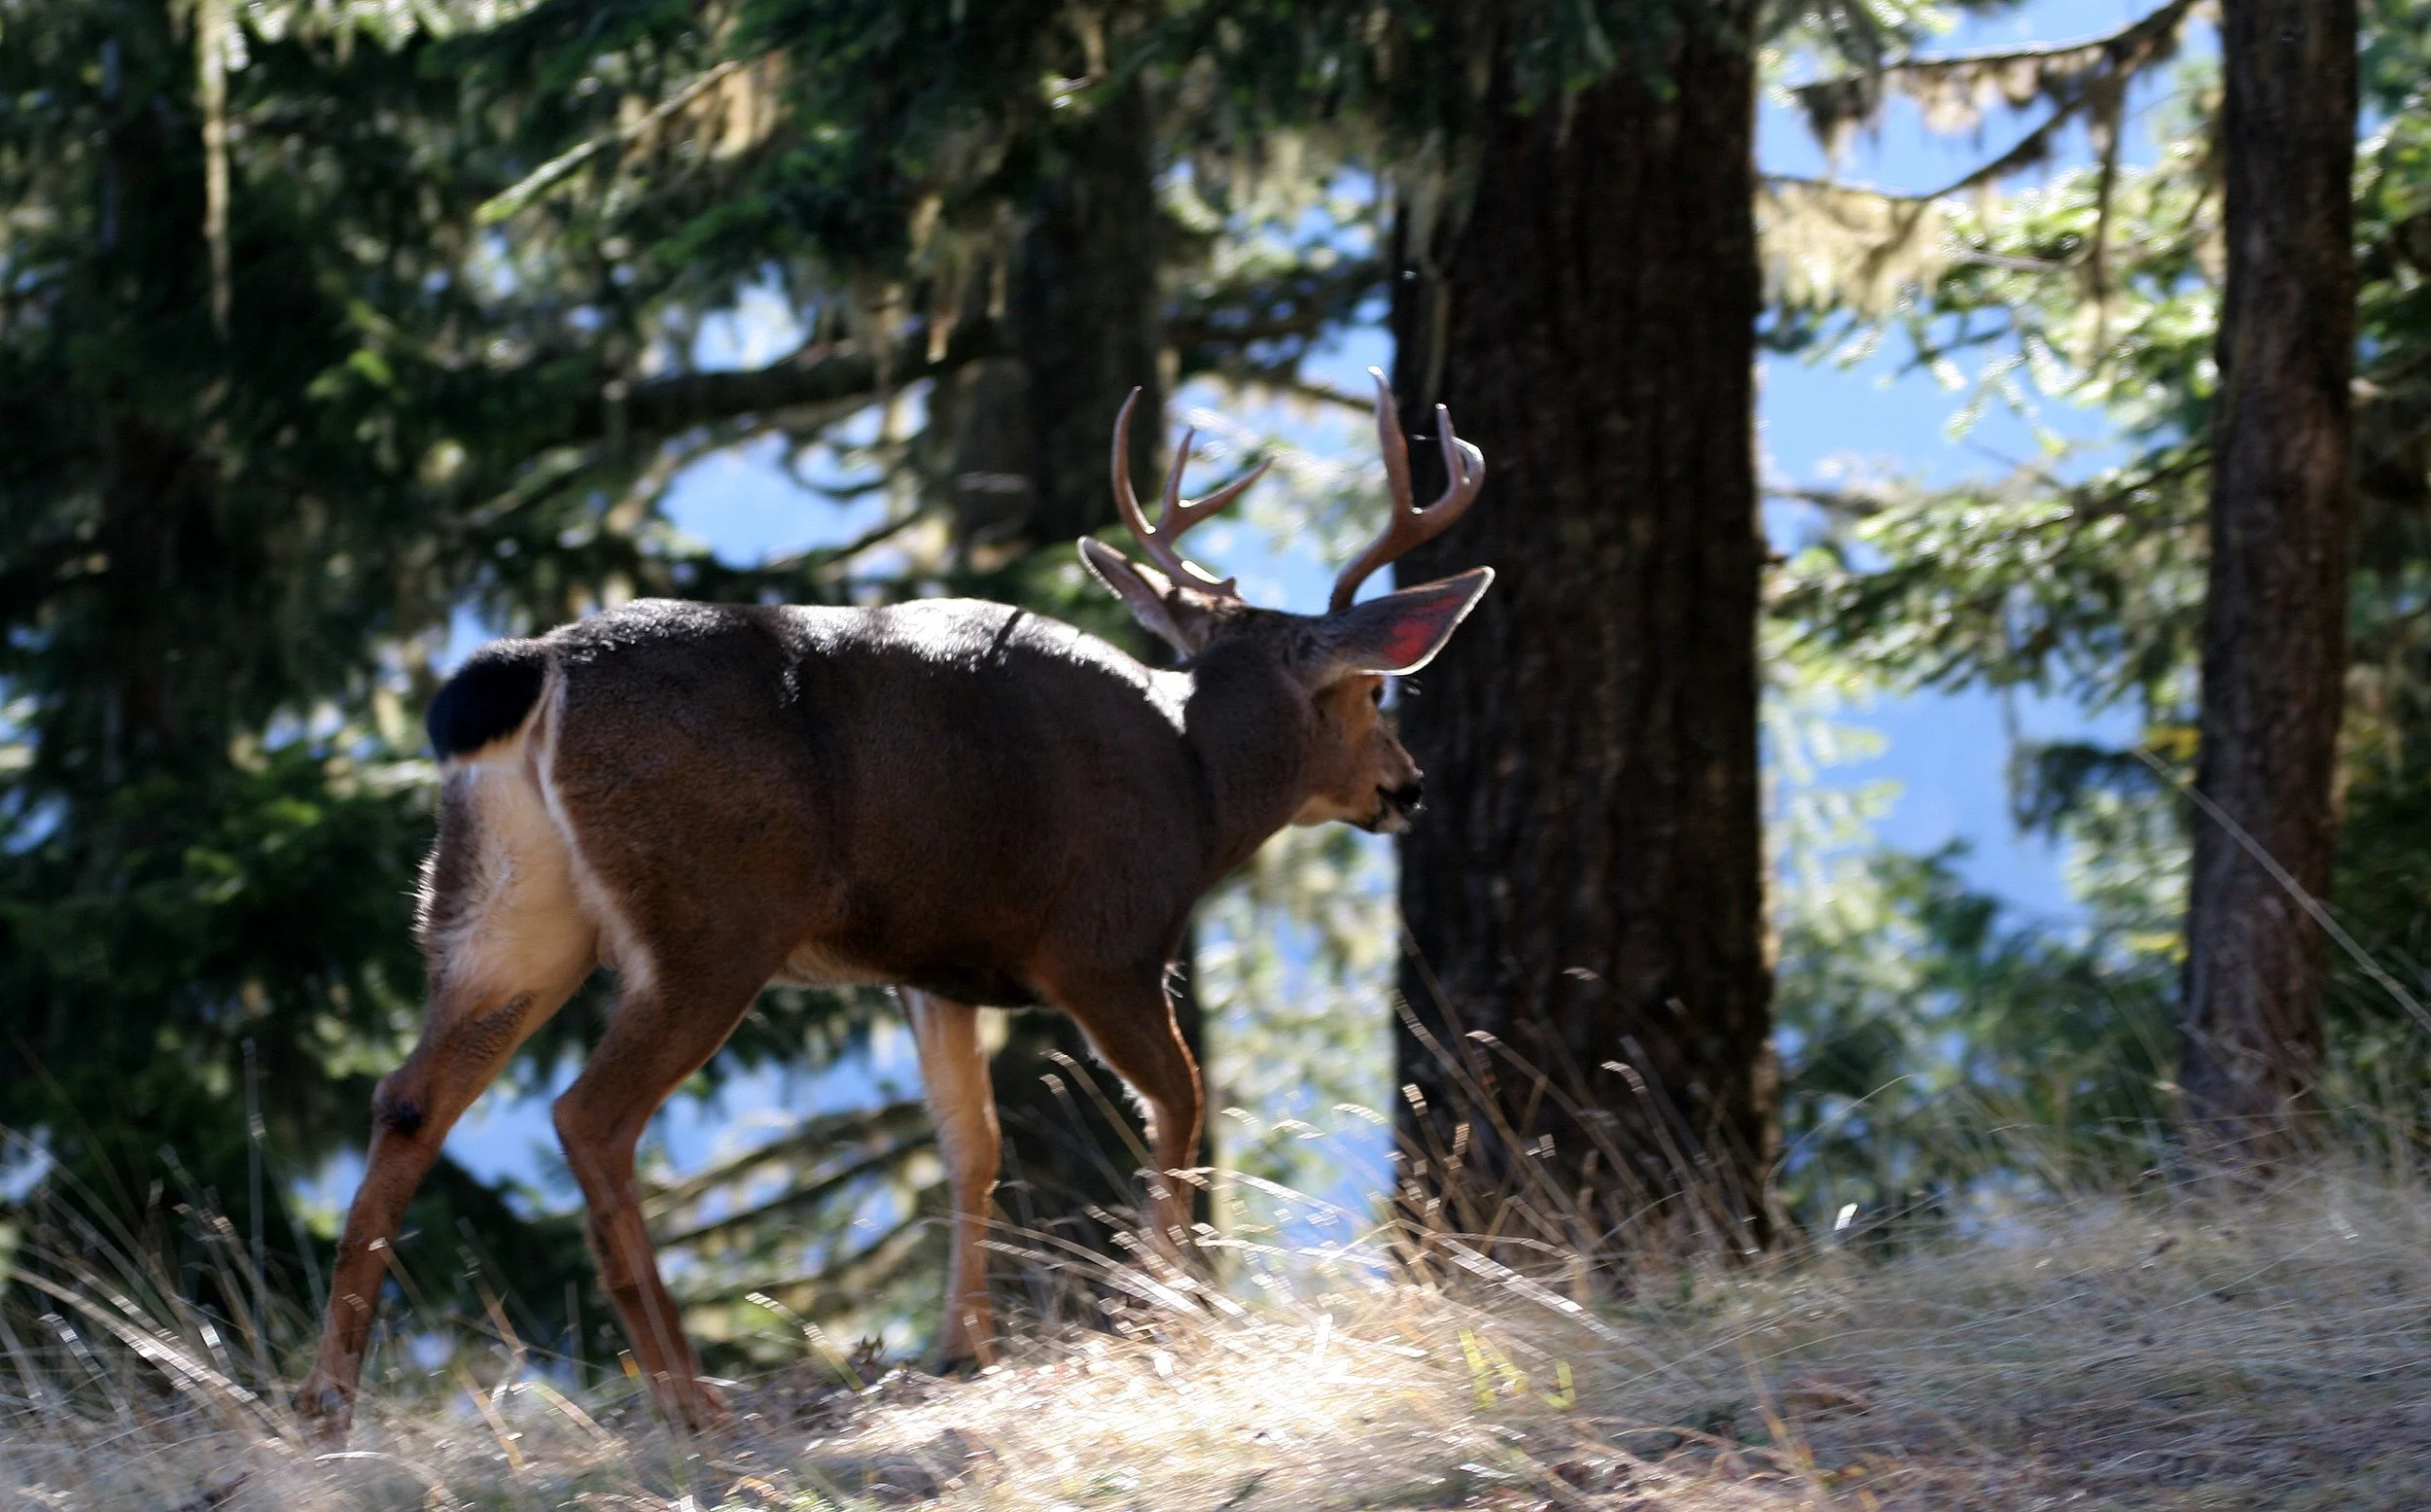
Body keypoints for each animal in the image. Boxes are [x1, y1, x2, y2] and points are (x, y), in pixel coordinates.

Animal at [294, 370, 1489, 1441]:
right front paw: (1171, 1313)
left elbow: (975, 1142)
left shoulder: (932, 969)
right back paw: (688, 1397)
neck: (1198, 789)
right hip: (710, 920)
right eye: (1373, 688)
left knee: (409, 1099)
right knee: (589, 1114)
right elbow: (1181, 1106)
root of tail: (538, 664)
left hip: (504, 911)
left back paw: (327, 1401)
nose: (1408, 785)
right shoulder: (1107, 944)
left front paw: (966, 1345)